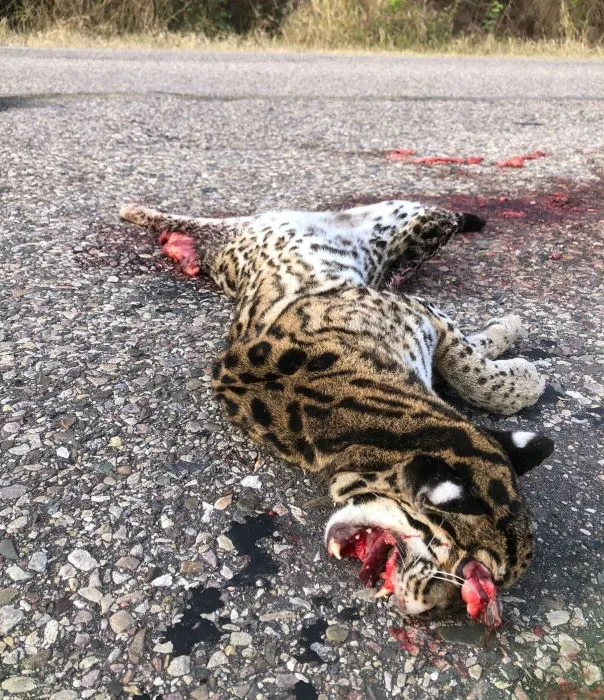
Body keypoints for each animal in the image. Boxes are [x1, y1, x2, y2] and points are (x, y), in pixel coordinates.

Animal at [119, 198, 554, 627]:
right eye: (457, 567)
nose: (431, 613)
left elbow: (469, 353)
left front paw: (504, 339)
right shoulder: (420, 312)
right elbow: (471, 368)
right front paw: (523, 374)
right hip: (407, 221)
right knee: (442, 217)